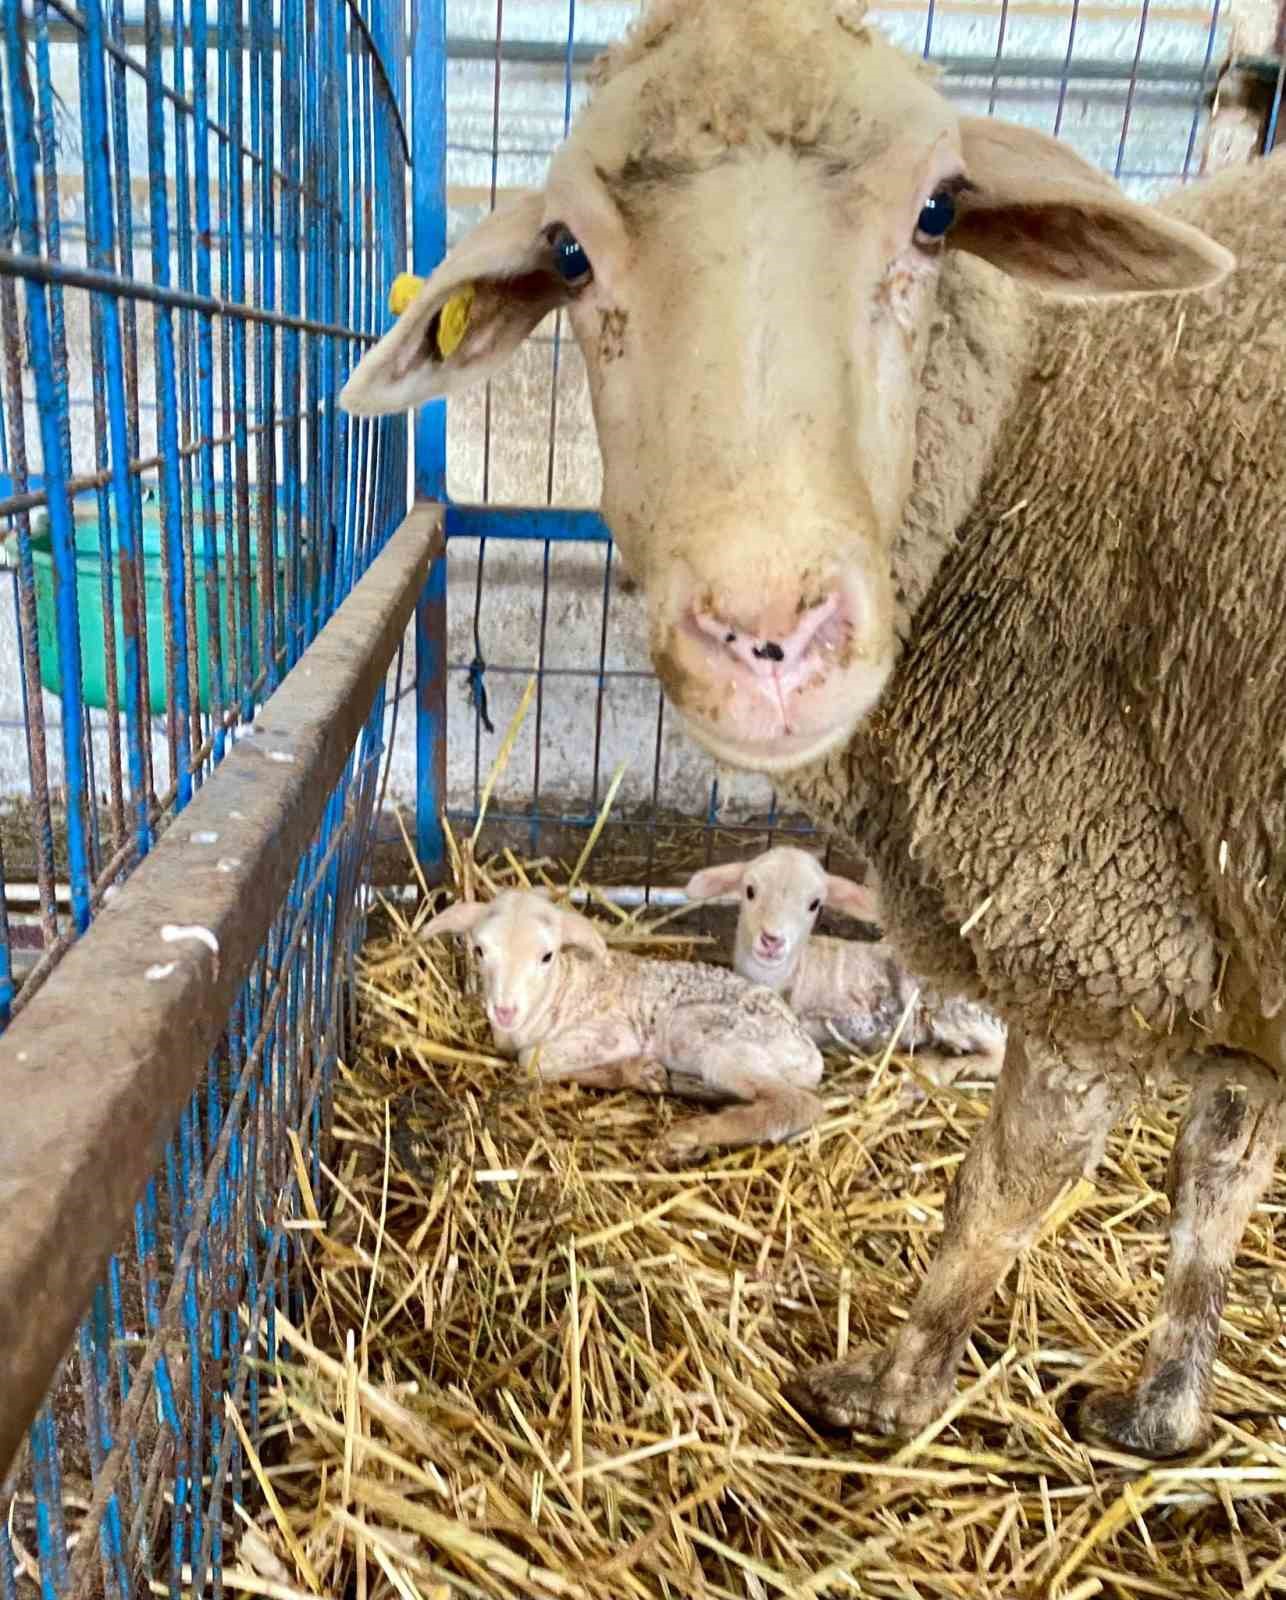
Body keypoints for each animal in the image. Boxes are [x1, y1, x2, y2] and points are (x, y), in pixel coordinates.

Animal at [422, 883, 825, 1158]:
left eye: (547, 956)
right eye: (479, 950)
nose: (505, 1010)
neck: (561, 990)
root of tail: (811, 1054)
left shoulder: (615, 1033)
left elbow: (532, 1060)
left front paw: (635, 1071)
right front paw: (641, 1074)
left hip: (707, 1034)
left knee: (798, 1105)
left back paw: (689, 1136)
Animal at [684, 844, 1004, 1094]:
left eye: (814, 904)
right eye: (750, 891)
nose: (772, 940)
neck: (794, 973)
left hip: (956, 1011)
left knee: (997, 1055)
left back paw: (946, 1066)